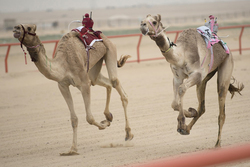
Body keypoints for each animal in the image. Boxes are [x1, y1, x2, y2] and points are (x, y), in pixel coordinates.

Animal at [12, 23, 134, 155]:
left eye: (29, 28)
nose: (15, 28)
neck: (63, 64)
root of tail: (102, 35)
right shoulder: (63, 85)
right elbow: (74, 118)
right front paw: (72, 149)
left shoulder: (84, 83)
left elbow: (89, 117)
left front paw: (104, 124)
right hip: (94, 67)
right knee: (105, 83)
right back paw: (108, 115)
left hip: (110, 49)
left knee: (116, 84)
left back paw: (128, 133)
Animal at [141, 14, 244, 147]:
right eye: (142, 21)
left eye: (154, 22)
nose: (142, 26)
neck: (182, 55)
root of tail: (227, 48)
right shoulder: (177, 77)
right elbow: (174, 103)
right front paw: (190, 114)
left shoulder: (197, 74)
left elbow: (182, 89)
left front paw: (181, 123)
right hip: (205, 78)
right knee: (202, 107)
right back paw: (188, 128)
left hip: (226, 67)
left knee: (222, 109)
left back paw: (217, 145)